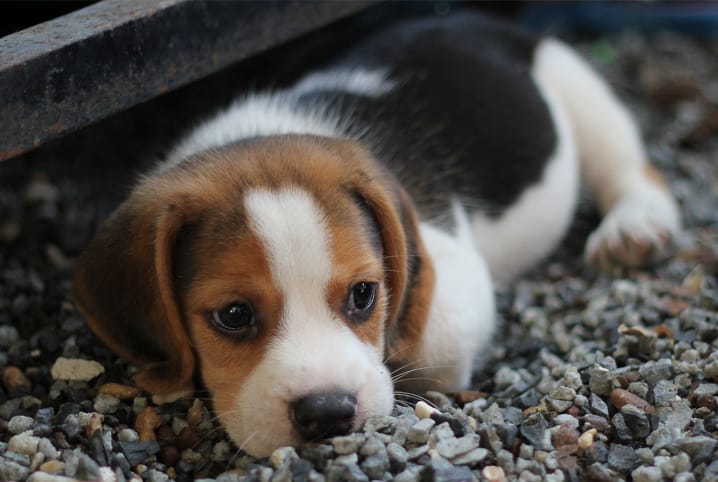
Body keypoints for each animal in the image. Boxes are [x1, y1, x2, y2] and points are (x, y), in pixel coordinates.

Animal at [73, 11, 680, 456]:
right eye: (234, 316)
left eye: (364, 295)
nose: (327, 413)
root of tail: (473, 19)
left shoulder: (452, 270)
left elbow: (425, 340)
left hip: (576, 88)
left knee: (630, 166)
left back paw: (635, 227)